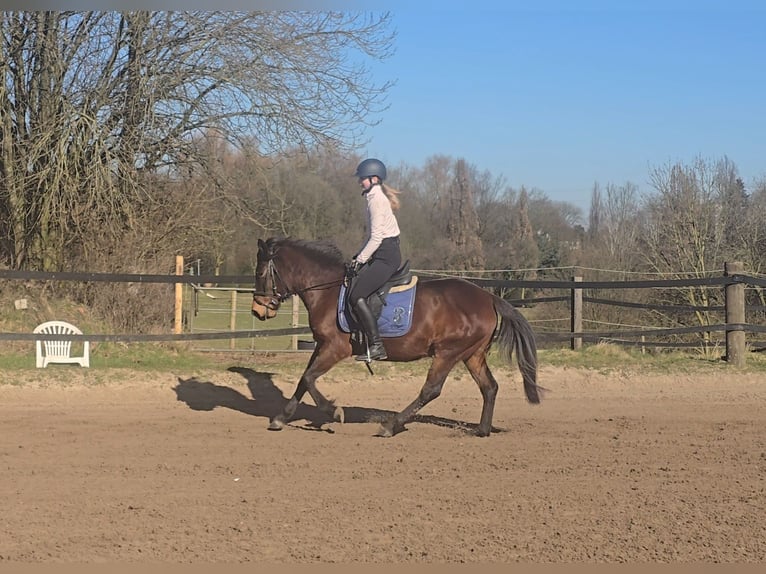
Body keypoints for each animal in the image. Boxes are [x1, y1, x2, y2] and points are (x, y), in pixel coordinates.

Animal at [252, 236, 540, 438]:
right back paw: (481, 430)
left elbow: (310, 379)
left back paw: (391, 426)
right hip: (473, 354)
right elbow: (304, 379)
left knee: (431, 390)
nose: (257, 310)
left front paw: (334, 411)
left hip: (448, 352)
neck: (328, 291)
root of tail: (488, 297)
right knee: (489, 387)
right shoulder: (322, 345)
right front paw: (280, 418)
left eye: (260, 273)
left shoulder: (335, 347)